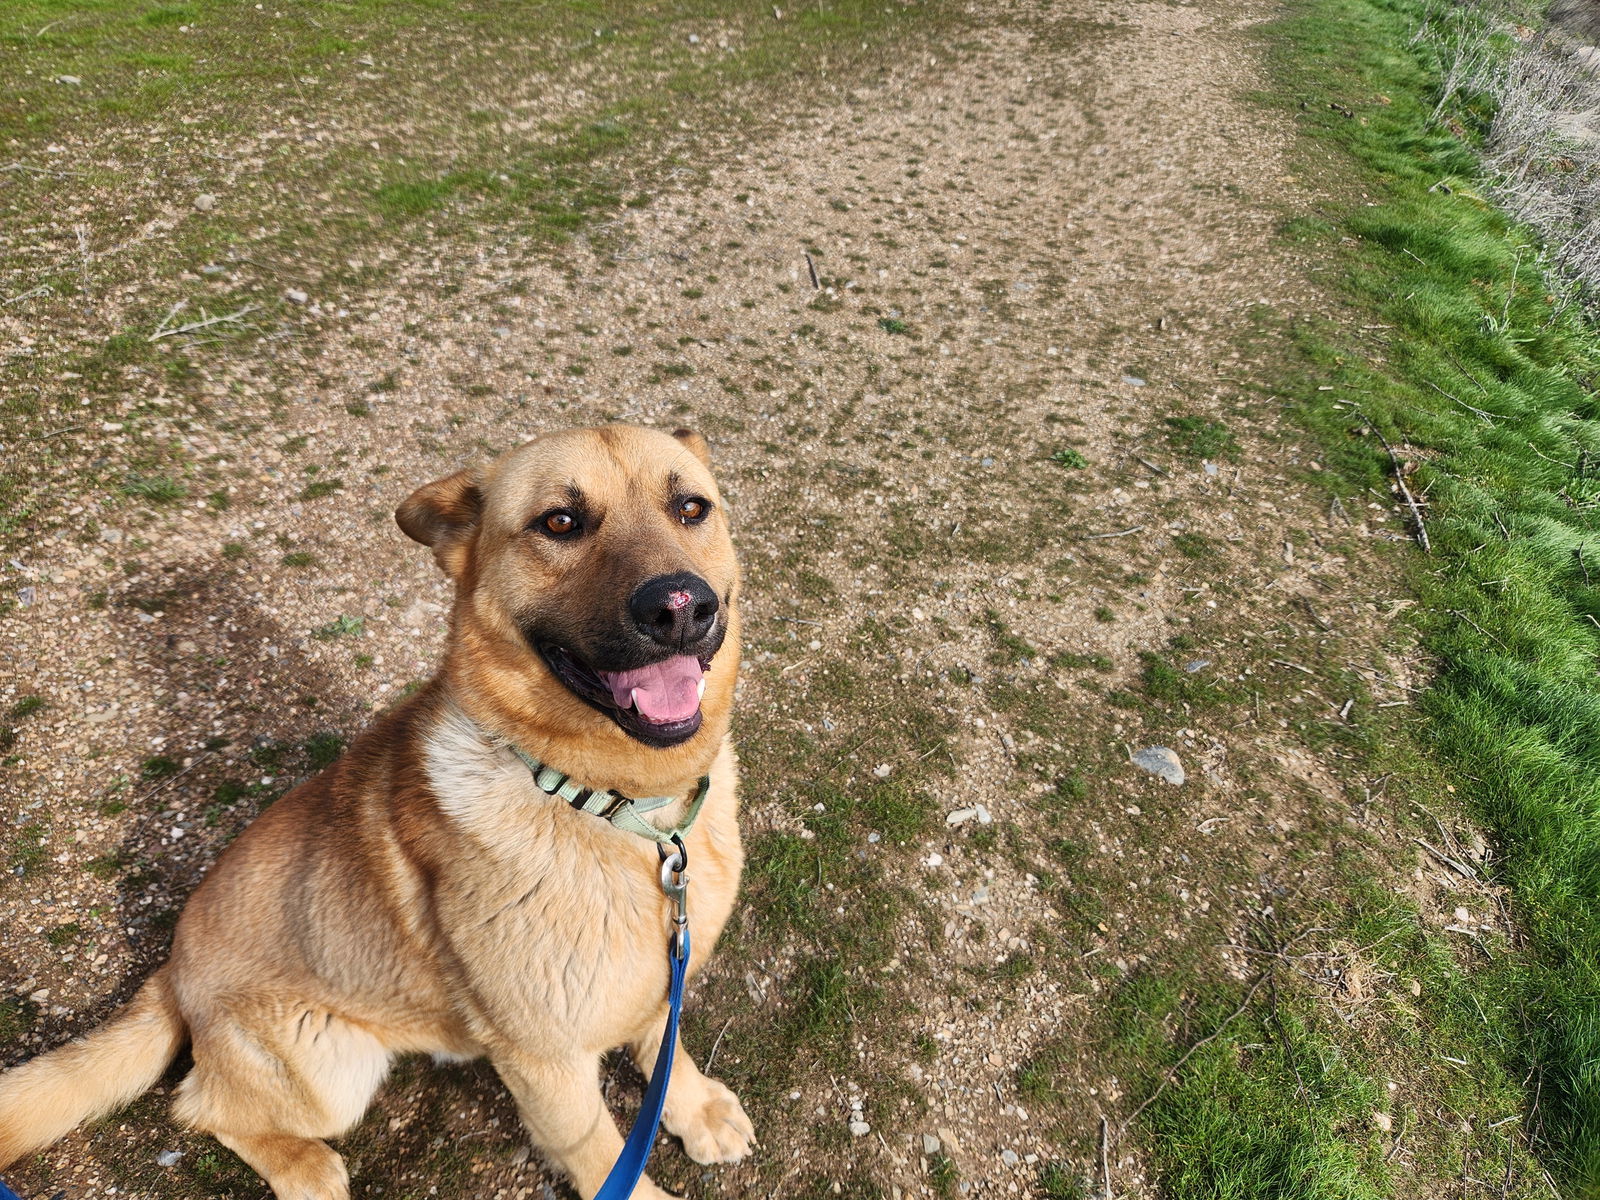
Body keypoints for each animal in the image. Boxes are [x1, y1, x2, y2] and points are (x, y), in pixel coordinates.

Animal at [0, 428, 755, 1196]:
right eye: (561, 522)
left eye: (691, 508)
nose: (679, 607)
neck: (619, 807)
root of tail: (172, 972)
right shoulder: (546, 1062)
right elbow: (602, 1156)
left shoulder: (660, 982)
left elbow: (665, 1045)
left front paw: (693, 1106)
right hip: (330, 1066)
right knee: (200, 1106)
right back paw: (305, 1169)